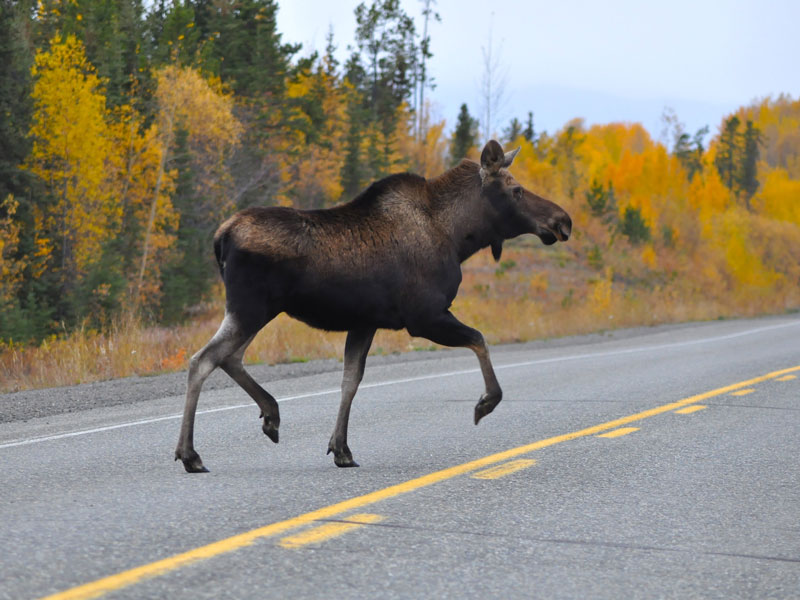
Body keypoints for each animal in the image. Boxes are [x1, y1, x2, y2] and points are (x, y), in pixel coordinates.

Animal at [177, 142, 572, 474]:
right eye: (516, 190)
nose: (563, 220)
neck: (459, 236)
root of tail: (220, 236)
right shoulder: (424, 317)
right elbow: (479, 339)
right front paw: (486, 402)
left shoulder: (365, 322)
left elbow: (350, 381)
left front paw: (341, 449)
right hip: (250, 309)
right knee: (202, 360)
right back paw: (190, 454)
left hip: (253, 312)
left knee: (228, 358)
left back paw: (270, 414)